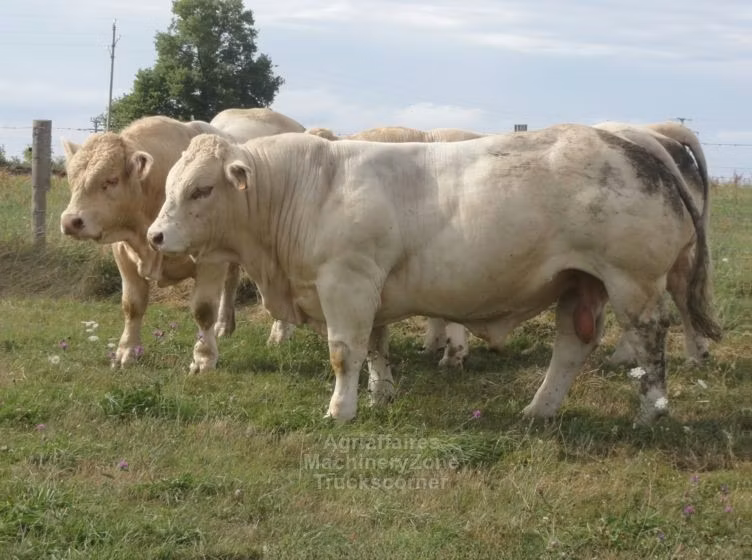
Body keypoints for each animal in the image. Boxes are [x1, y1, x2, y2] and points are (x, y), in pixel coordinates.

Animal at [60, 109, 305, 373]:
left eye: (111, 180)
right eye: (71, 179)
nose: (70, 221)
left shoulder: (209, 262)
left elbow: (203, 310)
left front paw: (204, 358)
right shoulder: (124, 255)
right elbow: (132, 305)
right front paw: (127, 351)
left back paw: (280, 333)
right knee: (230, 282)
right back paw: (224, 326)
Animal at [146, 125, 721, 426]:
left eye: (201, 189)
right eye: (170, 184)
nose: (155, 235)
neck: (309, 186)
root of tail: (637, 143)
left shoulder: (347, 282)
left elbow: (344, 352)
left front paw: (340, 409)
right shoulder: (370, 289)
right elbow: (375, 347)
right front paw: (380, 393)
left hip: (633, 282)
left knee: (651, 340)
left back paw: (650, 412)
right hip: (582, 283)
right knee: (571, 347)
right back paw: (539, 409)